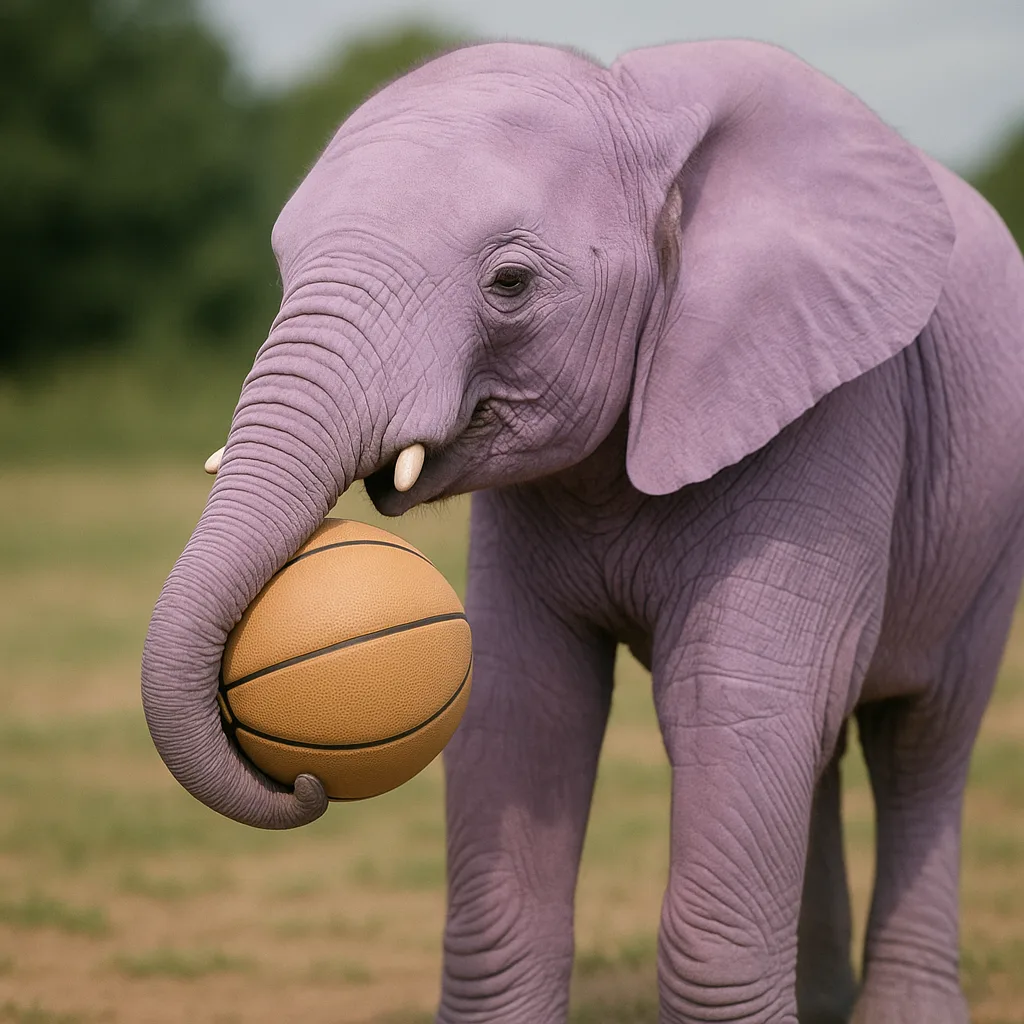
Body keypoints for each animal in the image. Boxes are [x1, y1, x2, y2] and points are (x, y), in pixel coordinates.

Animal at [141, 38, 1024, 1024]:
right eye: (283, 267)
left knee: (921, 741)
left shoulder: (834, 408)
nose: (300, 779)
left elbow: (734, 698)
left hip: (989, 531)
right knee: (828, 748)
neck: (639, 114)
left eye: (511, 283)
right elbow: (526, 700)